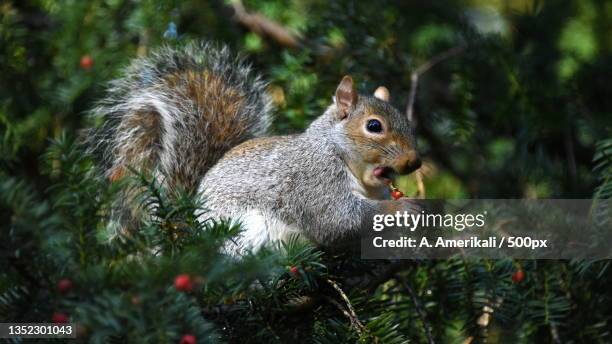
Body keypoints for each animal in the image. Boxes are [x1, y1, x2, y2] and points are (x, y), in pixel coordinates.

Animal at [86, 41, 420, 254]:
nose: (415, 162)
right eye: (374, 126)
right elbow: (336, 219)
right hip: (243, 231)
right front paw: (401, 208)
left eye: (407, 120)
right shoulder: (315, 179)